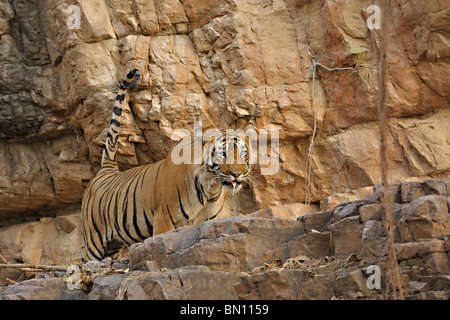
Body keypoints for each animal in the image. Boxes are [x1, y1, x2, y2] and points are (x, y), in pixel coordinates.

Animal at [80, 69, 253, 260]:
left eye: (243, 154)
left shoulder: (206, 222)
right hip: (94, 241)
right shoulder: (164, 220)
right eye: (223, 153)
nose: (237, 174)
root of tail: (107, 169)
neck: (211, 187)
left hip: (113, 246)